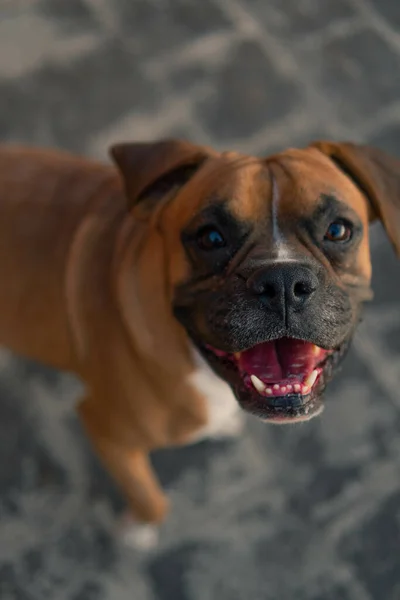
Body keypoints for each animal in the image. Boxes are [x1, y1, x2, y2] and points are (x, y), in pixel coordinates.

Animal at [0, 139, 400, 544]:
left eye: (337, 230)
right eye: (211, 238)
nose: (283, 282)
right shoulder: (106, 428)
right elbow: (148, 494)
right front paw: (139, 531)